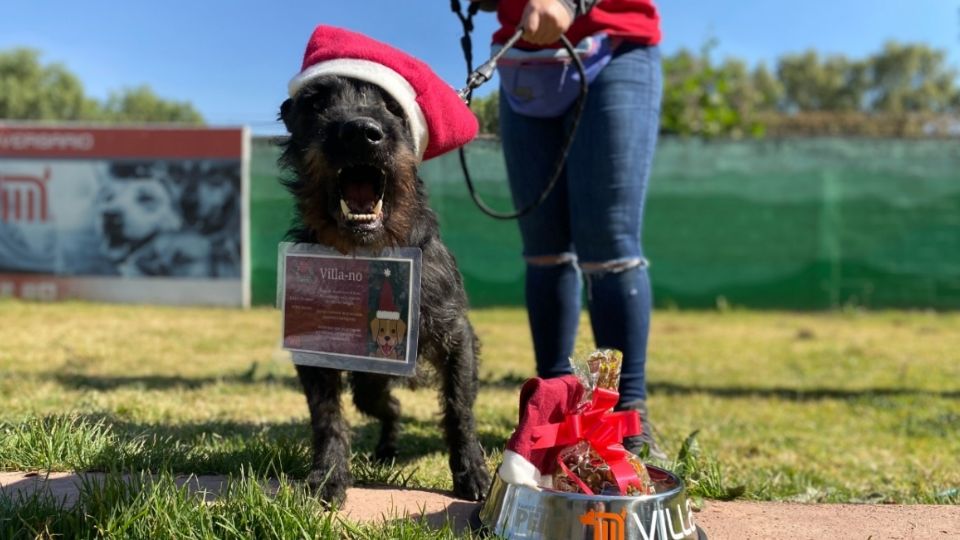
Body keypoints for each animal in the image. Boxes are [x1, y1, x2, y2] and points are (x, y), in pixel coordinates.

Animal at [276, 74, 488, 504]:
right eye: (316, 102)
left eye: (392, 106)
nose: (360, 131)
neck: (368, 250)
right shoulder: (314, 346)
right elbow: (327, 417)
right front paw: (327, 475)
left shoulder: (456, 336)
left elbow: (460, 408)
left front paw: (471, 471)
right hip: (370, 384)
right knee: (391, 406)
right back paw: (387, 448)